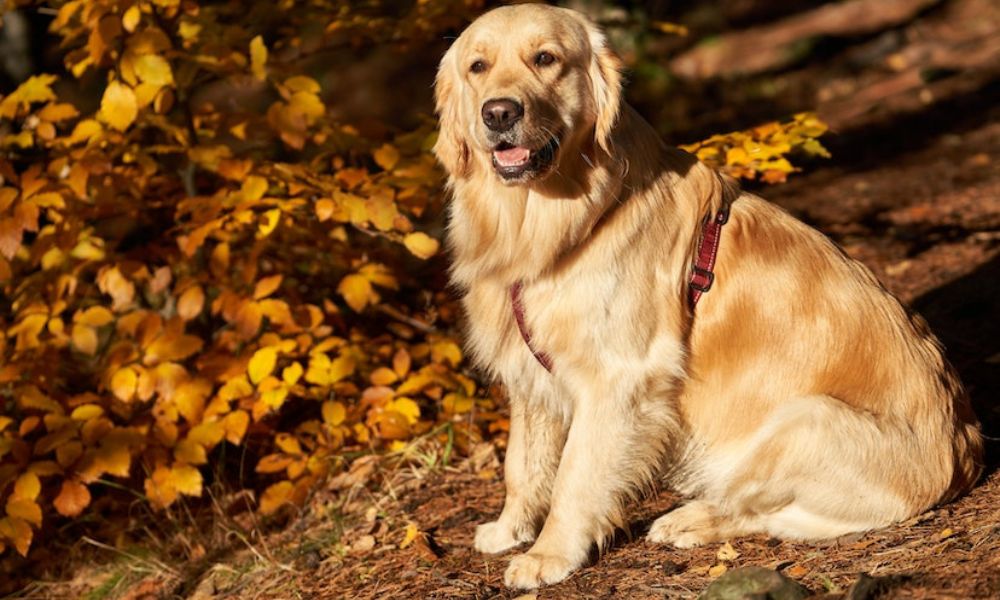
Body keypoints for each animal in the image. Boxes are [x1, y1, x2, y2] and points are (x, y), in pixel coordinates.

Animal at [432, 2, 984, 588]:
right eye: (477, 66)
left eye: (545, 59)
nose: (498, 113)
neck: (553, 222)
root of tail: (966, 452)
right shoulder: (531, 375)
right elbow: (522, 463)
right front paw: (510, 528)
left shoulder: (617, 378)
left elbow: (574, 476)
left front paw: (550, 554)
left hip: (804, 418)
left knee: (758, 511)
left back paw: (690, 520)